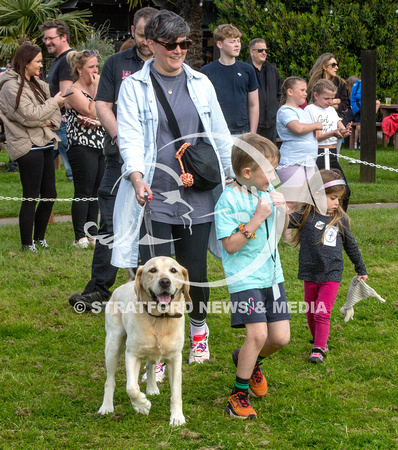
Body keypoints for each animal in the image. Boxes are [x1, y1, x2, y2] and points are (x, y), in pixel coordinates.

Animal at [98, 256, 191, 426]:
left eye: (173, 270)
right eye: (152, 270)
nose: (165, 281)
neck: (159, 320)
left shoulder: (175, 358)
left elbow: (176, 392)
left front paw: (177, 418)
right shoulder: (132, 354)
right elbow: (131, 387)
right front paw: (142, 405)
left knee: (150, 365)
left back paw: (152, 388)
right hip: (113, 344)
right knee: (110, 380)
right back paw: (106, 407)